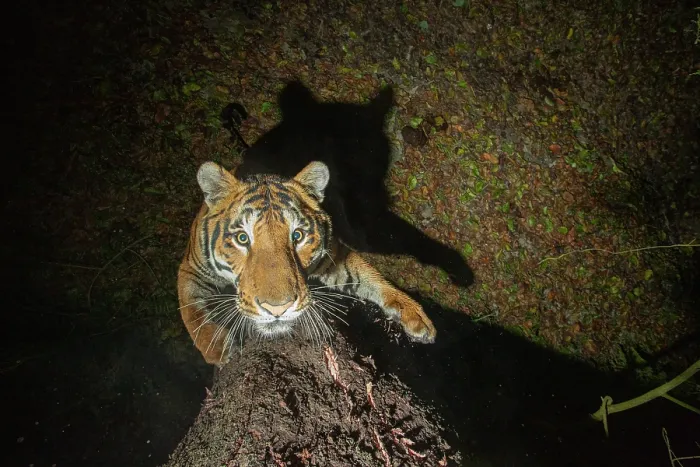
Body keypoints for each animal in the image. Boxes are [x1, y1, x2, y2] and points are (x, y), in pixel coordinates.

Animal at [177, 160, 437, 365]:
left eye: (297, 236)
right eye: (242, 238)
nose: (277, 309)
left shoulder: (334, 258)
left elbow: (370, 276)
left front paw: (414, 314)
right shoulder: (190, 267)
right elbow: (190, 308)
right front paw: (216, 348)